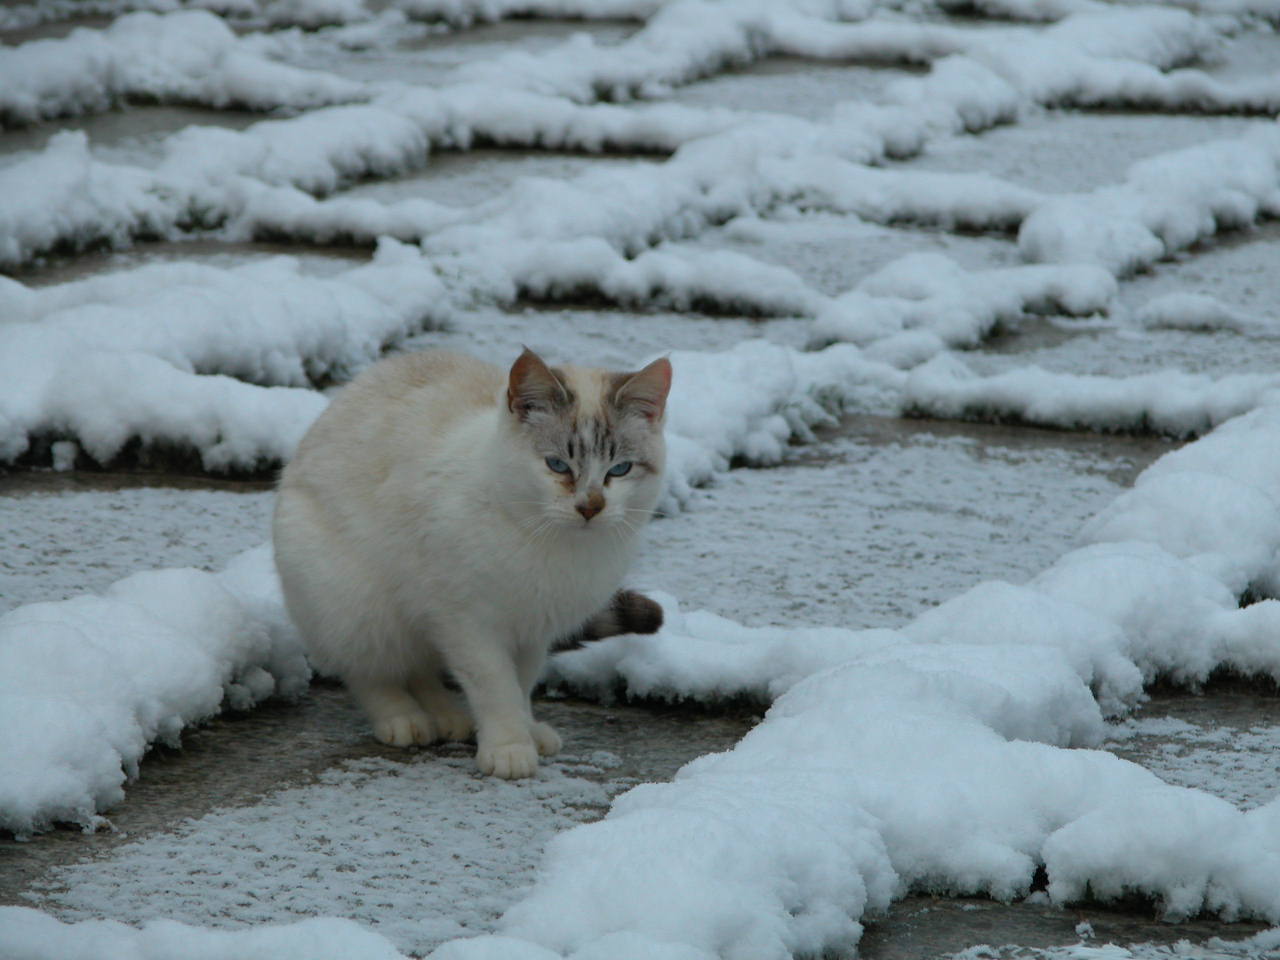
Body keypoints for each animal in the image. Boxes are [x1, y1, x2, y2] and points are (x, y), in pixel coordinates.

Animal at [271, 350, 670, 778]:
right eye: (558, 466)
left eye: (620, 469)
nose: (591, 507)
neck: (553, 545)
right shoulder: (467, 623)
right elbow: (496, 687)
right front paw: (509, 747)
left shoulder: (532, 628)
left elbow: (521, 684)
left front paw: (527, 730)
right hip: (355, 604)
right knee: (370, 670)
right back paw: (403, 717)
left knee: (421, 668)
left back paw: (448, 716)